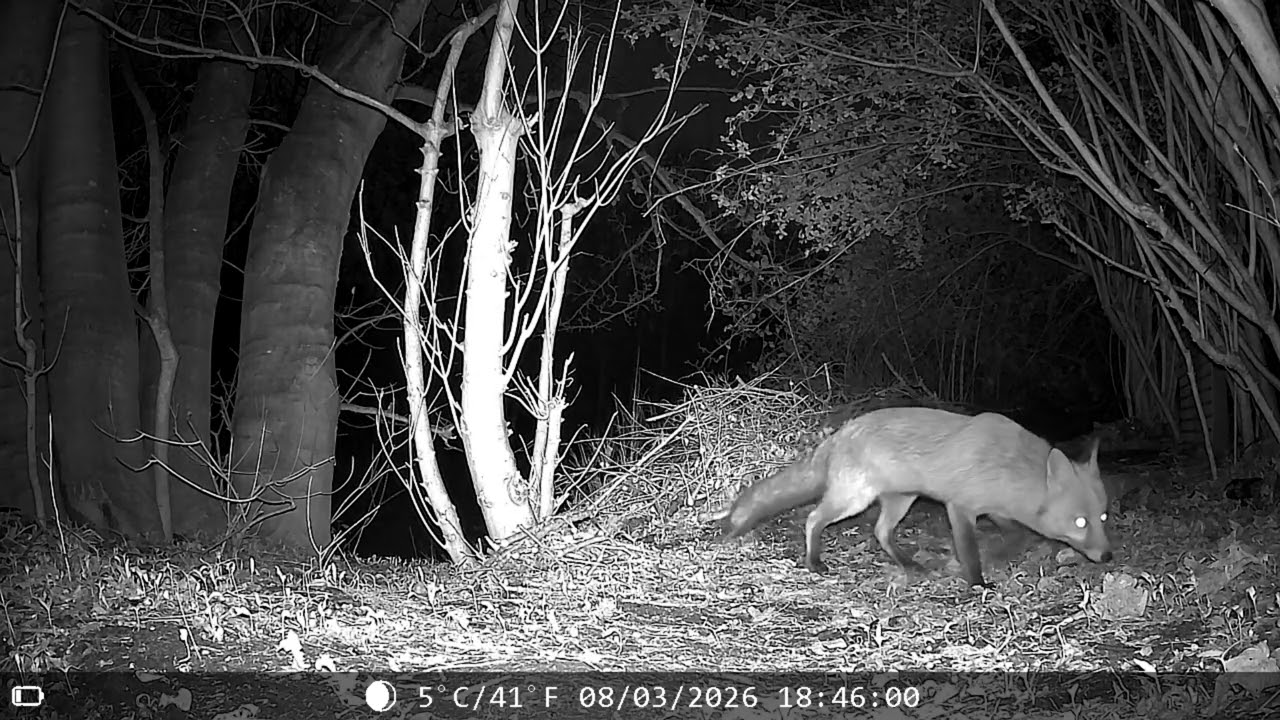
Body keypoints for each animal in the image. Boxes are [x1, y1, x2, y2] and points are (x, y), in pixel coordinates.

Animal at [720, 406, 1112, 587]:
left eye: (1103, 518)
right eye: (1080, 522)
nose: (1108, 557)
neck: (1008, 466)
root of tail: (842, 432)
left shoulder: (996, 510)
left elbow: (1018, 536)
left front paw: (999, 555)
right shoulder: (961, 507)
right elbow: (970, 551)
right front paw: (978, 582)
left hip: (901, 500)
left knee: (880, 531)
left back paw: (907, 563)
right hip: (854, 499)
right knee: (814, 518)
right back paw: (814, 561)